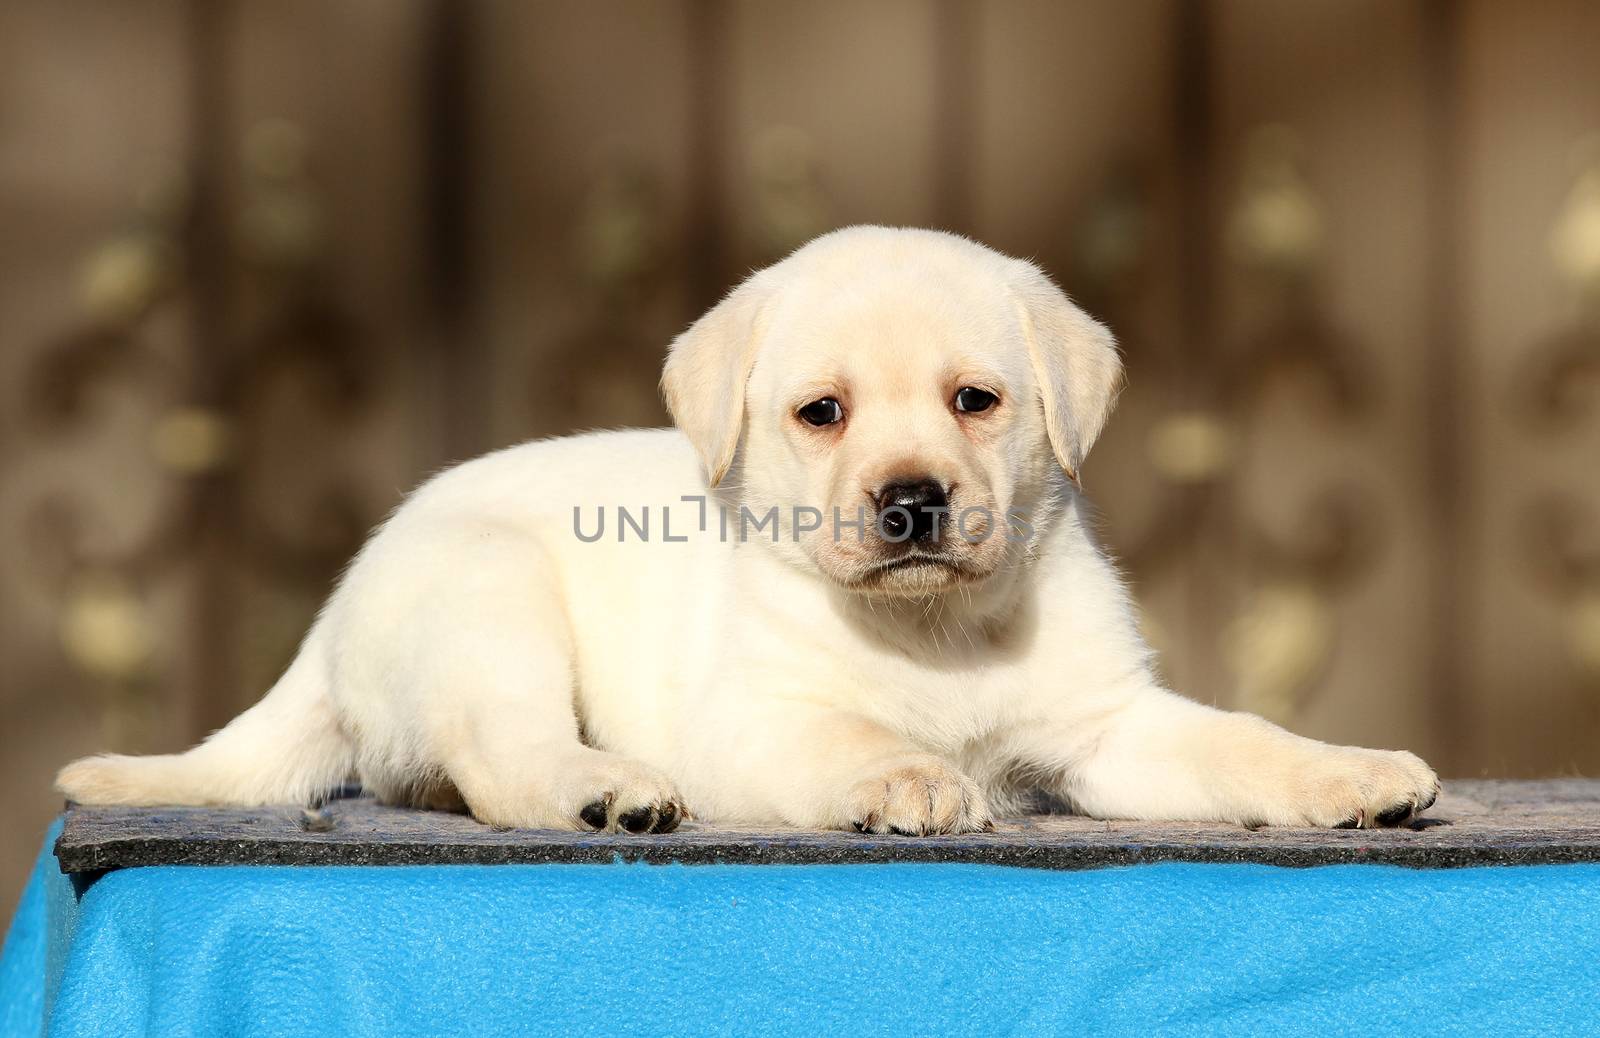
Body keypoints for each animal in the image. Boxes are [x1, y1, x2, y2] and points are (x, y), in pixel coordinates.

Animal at [59, 227, 1440, 831]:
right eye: (821, 413)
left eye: (976, 401)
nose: (911, 501)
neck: (935, 631)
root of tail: (335, 612)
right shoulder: (748, 725)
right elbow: (844, 739)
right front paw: (906, 777)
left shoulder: (1105, 727)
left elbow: (1241, 742)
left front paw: (1349, 775)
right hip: (486, 596)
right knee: (499, 758)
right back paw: (605, 791)